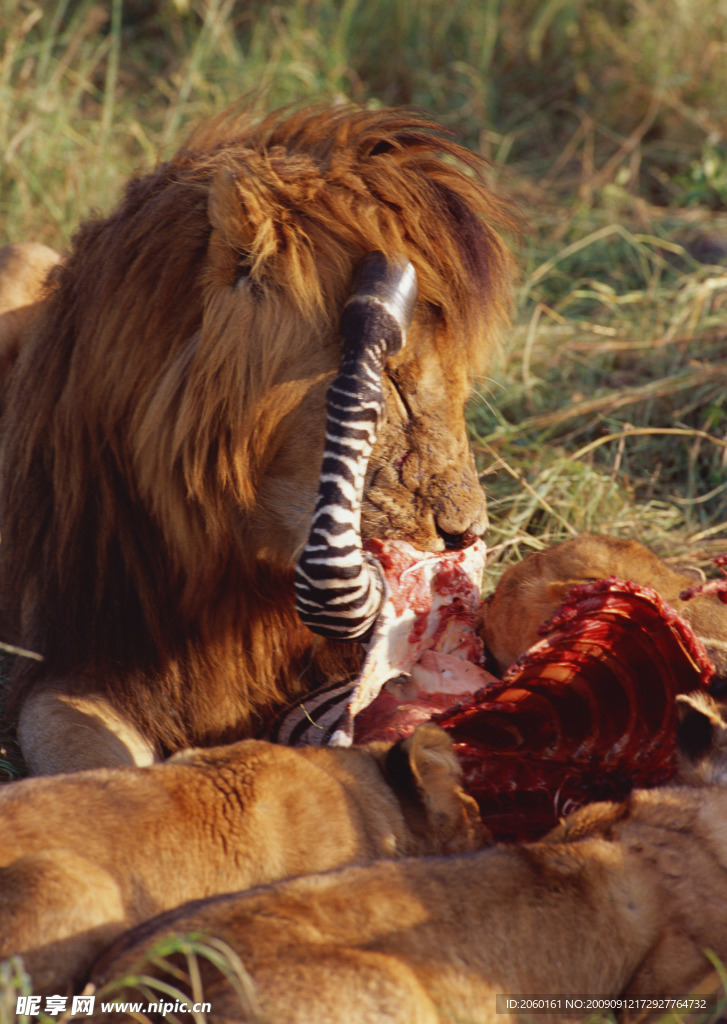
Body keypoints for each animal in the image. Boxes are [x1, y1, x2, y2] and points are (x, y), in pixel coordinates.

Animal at [0, 105, 518, 774]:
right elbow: (90, 757)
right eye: (398, 383)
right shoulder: (66, 662)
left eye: (463, 388)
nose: (467, 536)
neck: (228, 569)